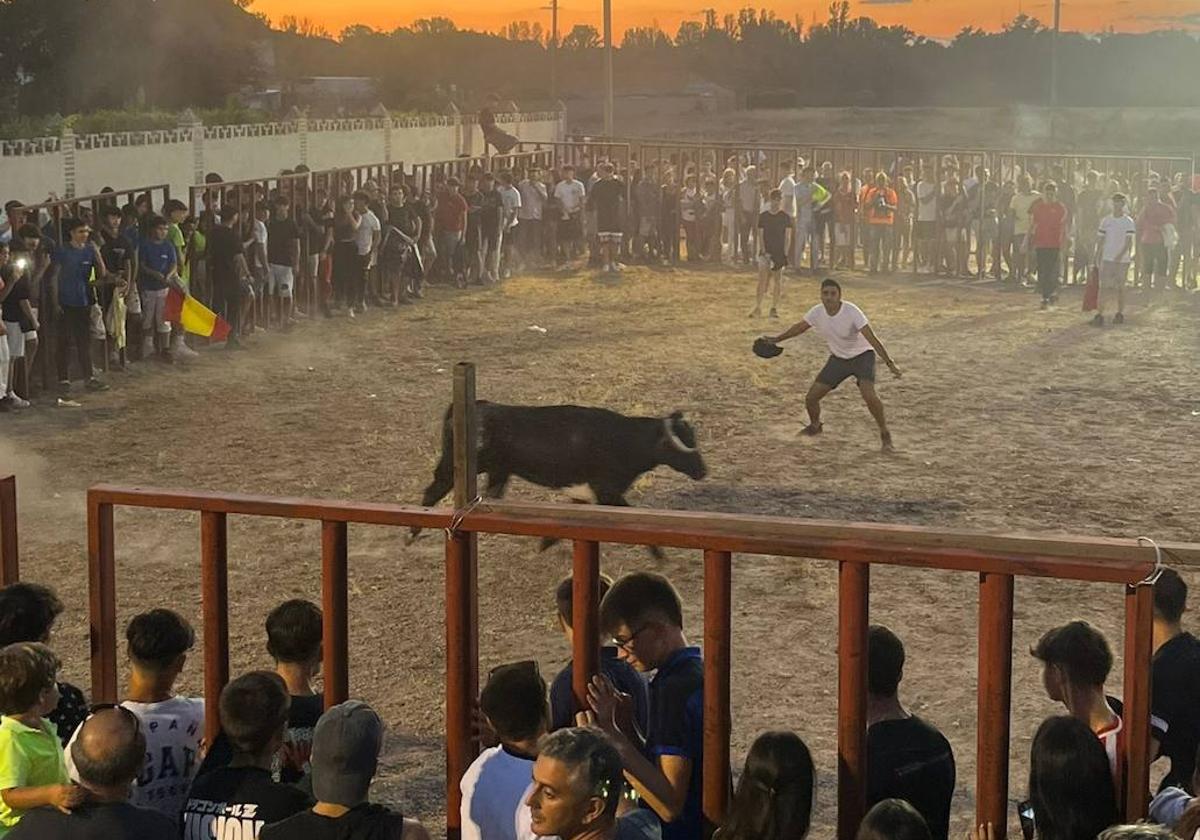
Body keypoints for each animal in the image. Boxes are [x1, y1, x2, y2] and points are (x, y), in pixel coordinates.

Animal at [415, 400, 705, 552]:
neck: (624, 439)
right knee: (434, 488)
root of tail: (477, 405)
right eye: (680, 441)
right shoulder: (607, 491)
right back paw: (413, 531)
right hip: (457, 467)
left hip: (498, 472)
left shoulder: (590, 493)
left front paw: (546, 543)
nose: (703, 470)